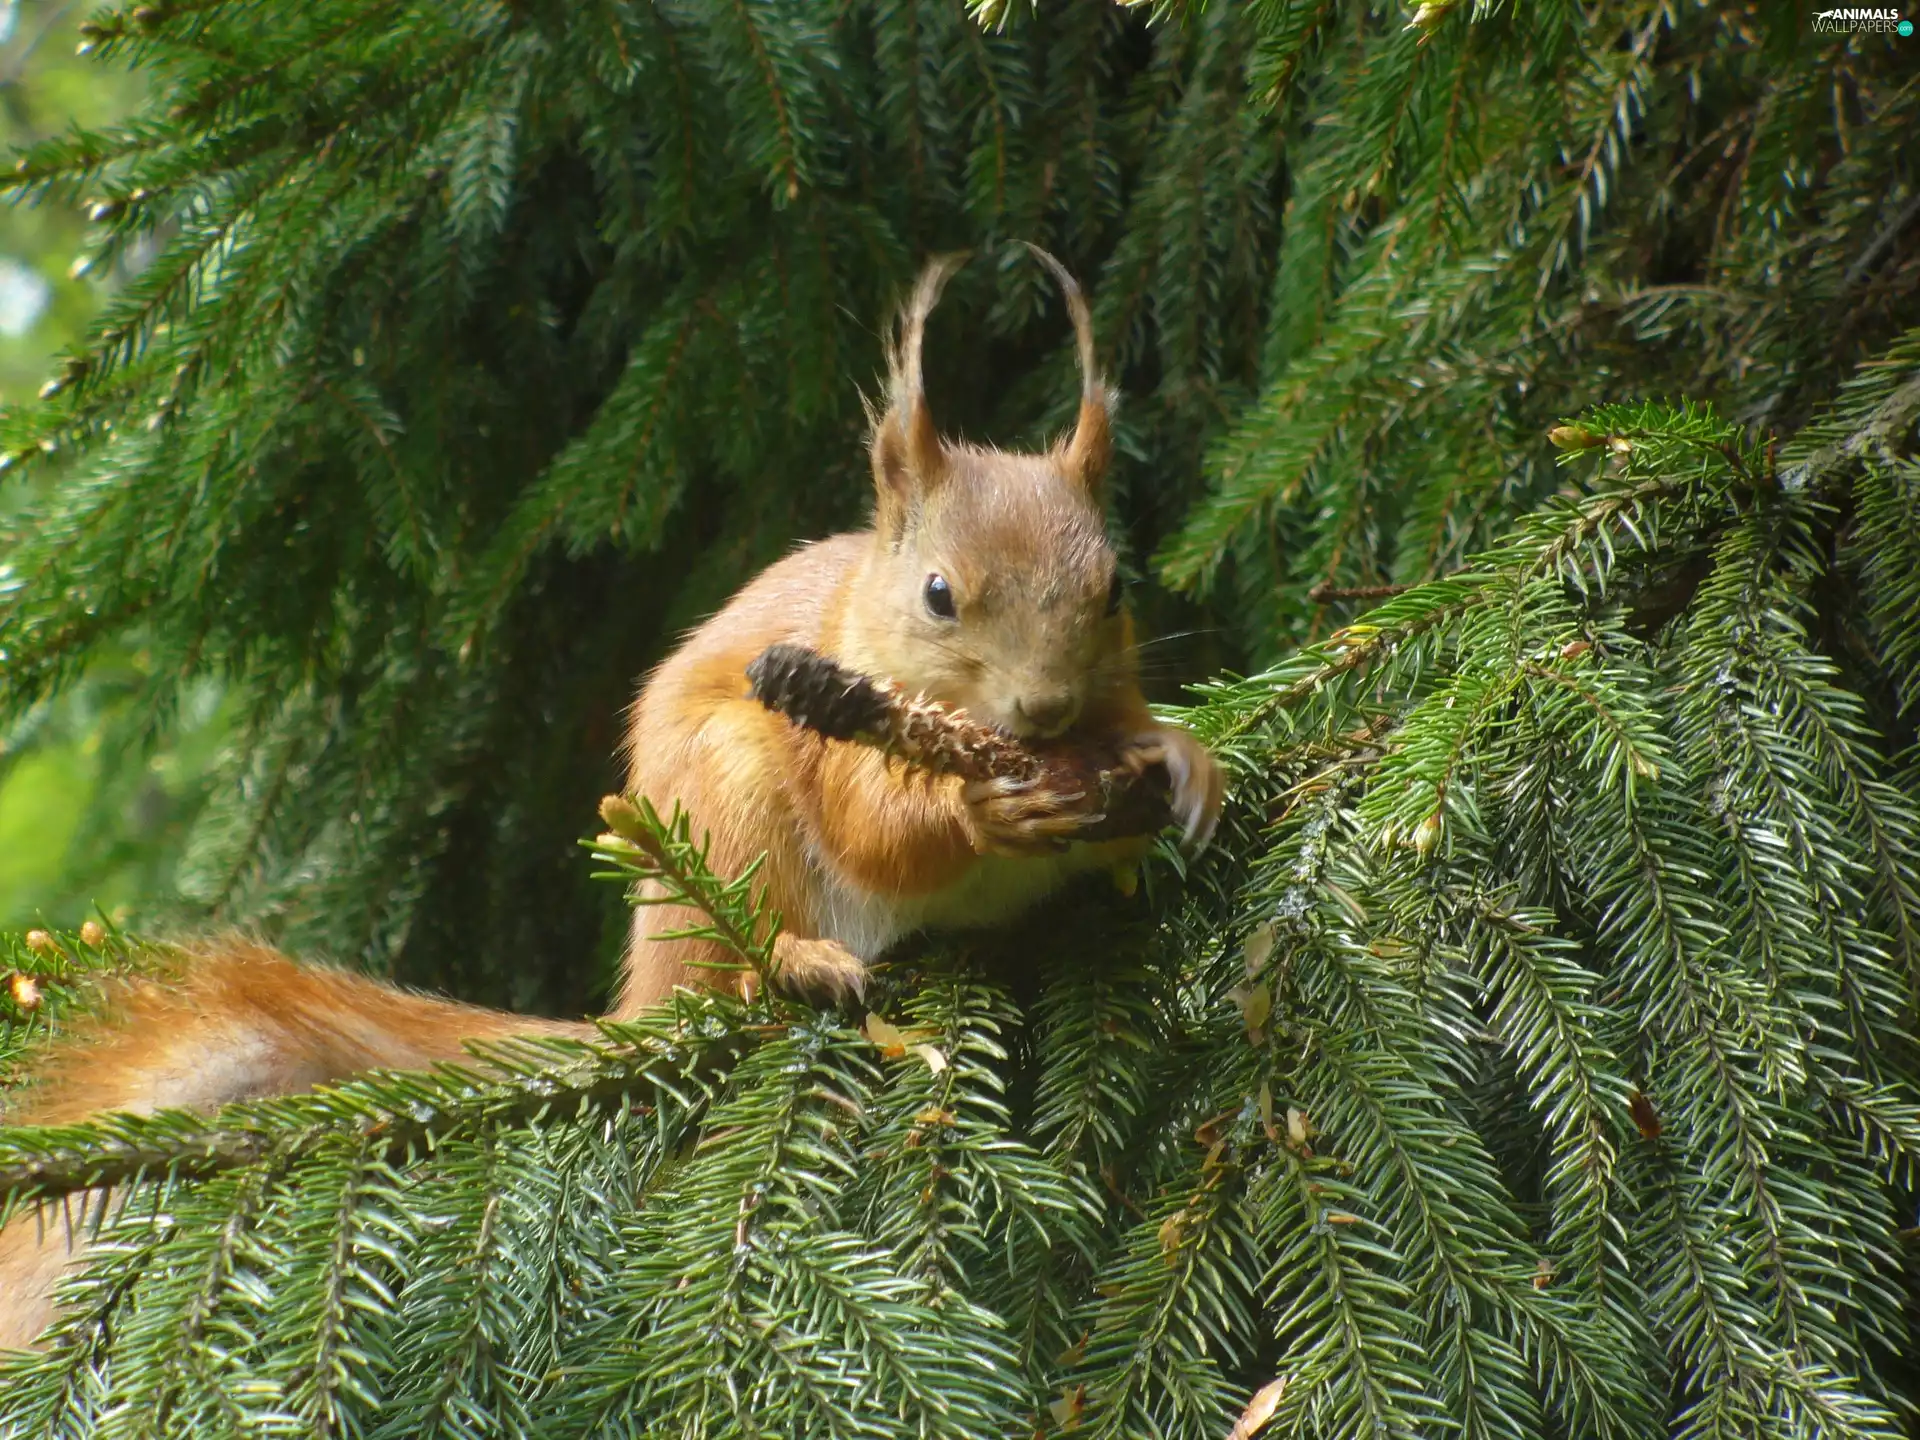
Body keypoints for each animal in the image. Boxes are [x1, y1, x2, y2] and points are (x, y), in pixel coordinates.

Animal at [0, 250, 1223, 1349]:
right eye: (937, 595)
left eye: (1115, 587)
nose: (1045, 710)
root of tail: (648, 984)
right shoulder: (824, 738)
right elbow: (876, 832)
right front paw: (987, 811)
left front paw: (1182, 760)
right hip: (731, 795)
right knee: (749, 960)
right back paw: (797, 962)